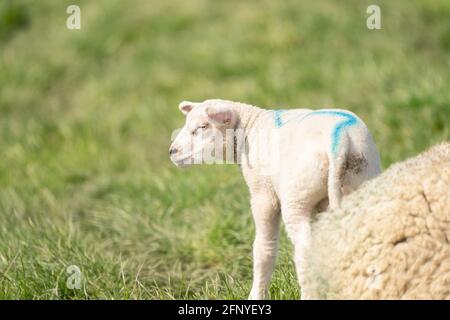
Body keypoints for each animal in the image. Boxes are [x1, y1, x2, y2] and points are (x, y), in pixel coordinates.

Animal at [169, 99, 380, 298]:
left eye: (203, 126)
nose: (172, 151)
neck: (250, 127)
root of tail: (340, 141)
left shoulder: (263, 194)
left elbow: (264, 247)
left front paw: (255, 295)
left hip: (296, 197)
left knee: (305, 250)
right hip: (360, 184)